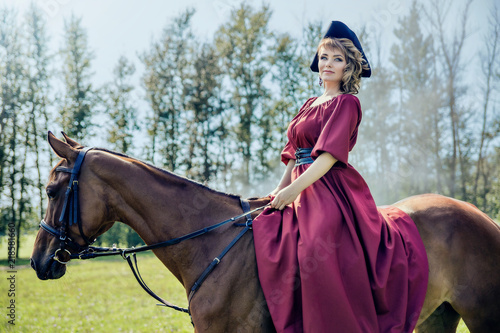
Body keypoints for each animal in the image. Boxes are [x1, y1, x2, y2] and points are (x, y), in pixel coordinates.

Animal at [31, 133, 500, 332]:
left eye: (52, 190)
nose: (38, 261)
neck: (210, 242)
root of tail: (482, 217)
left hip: (482, 316)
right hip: (437, 317)